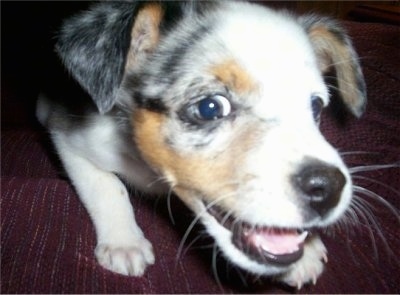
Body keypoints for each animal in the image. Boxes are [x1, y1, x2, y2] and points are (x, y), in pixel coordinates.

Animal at [36, 1, 366, 290]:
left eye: (316, 107)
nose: (329, 188)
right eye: (210, 107)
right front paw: (124, 242)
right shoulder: (69, 138)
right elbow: (107, 187)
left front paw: (305, 250)